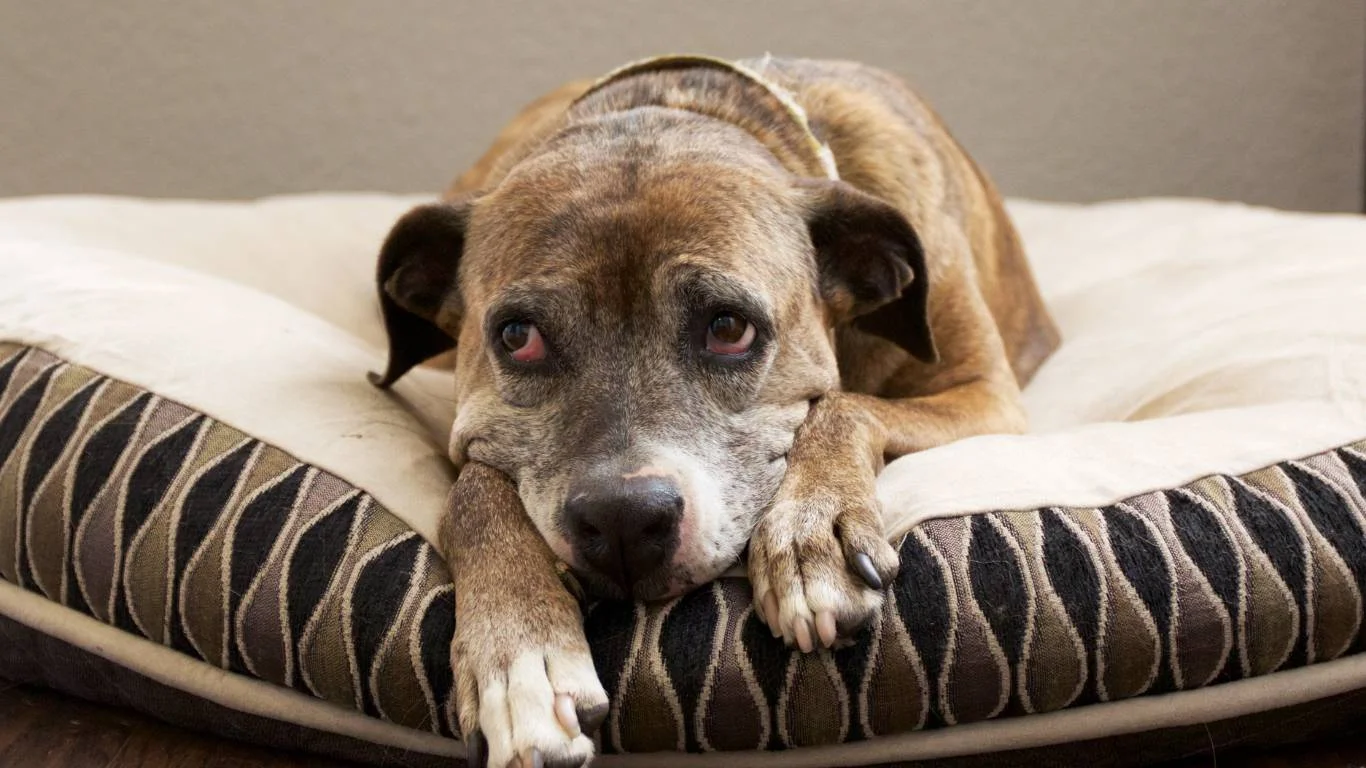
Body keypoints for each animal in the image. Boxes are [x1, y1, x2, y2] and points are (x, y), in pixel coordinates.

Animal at [371, 55, 1054, 765]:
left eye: (728, 328)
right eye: (517, 336)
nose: (623, 520)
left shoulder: (984, 393)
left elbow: (843, 406)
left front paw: (811, 534)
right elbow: (473, 491)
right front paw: (521, 656)